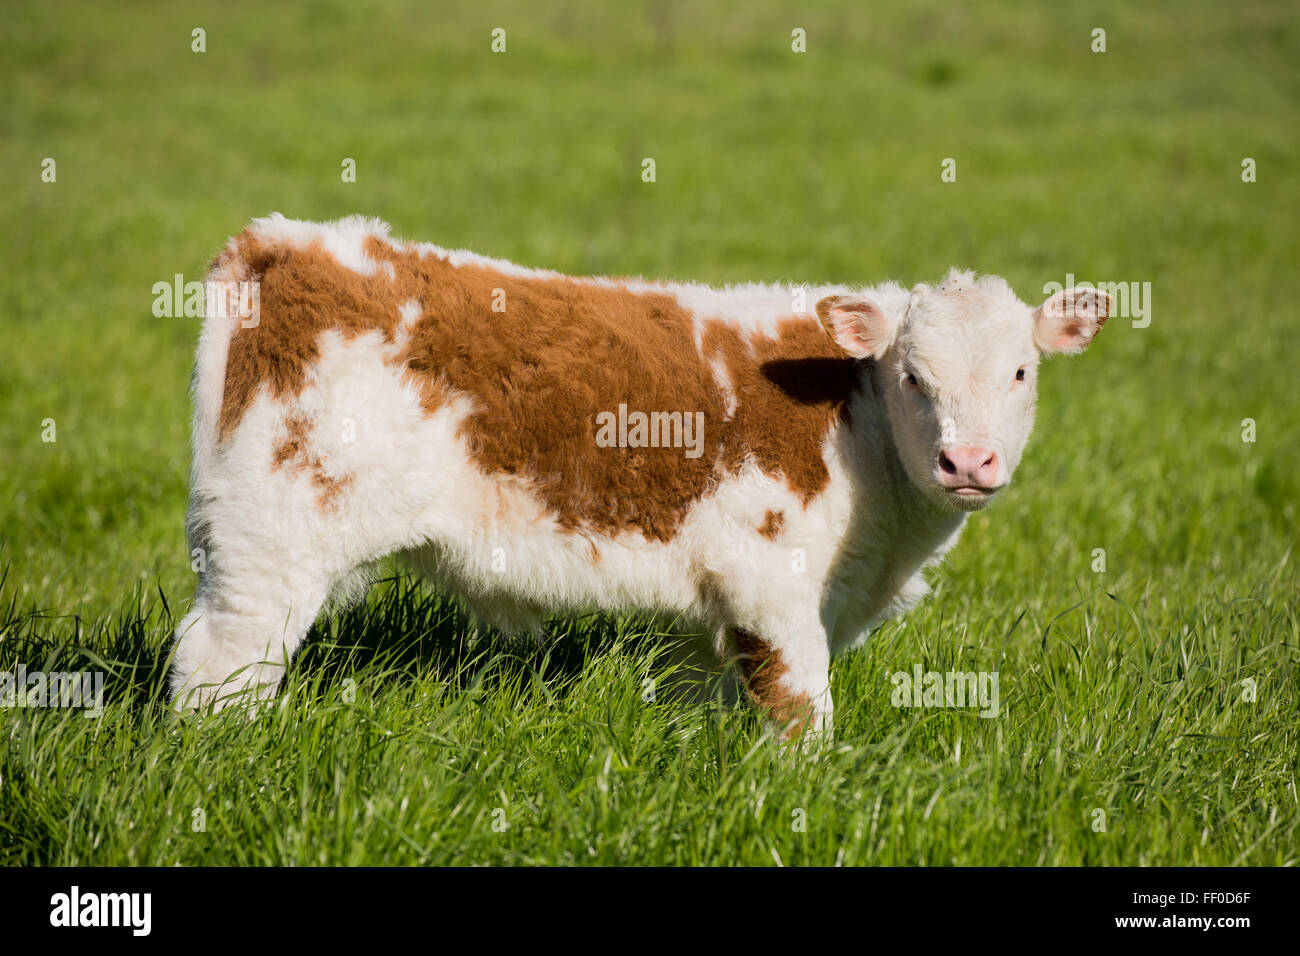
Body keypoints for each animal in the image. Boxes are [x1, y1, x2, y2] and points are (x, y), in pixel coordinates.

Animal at [169, 213, 1109, 741]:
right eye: (913, 375)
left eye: (1021, 372)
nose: (968, 461)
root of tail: (284, 242)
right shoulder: (772, 584)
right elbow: (802, 714)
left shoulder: (707, 611)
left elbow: (702, 703)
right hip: (271, 542)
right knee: (219, 667)